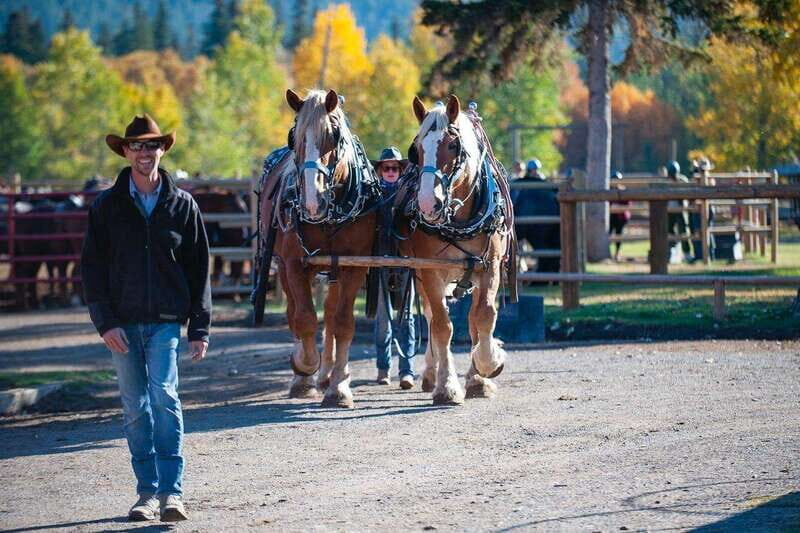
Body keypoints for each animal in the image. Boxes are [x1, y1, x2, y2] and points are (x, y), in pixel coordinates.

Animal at [260, 88, 380, 408]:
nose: (314, 201)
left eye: (334, 135)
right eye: (295, 136)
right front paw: (304, 366)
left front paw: (339, 386)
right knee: (294, 312)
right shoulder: (294, 263)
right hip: (285, 265)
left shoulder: (354, 264)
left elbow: (342, 323)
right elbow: (304, 319)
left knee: (330, 312)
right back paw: (305, 376)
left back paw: (327, 375)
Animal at [396, 95, 516, 406]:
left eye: (453, 146)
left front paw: (487, 366)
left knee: (474, 319)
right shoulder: (430, 271)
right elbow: (441, 325)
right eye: (416, 150)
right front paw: (447, 386)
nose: (428, 204)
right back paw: (432, 374)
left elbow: (483, 317)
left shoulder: (489, 266)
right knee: (430, 316)